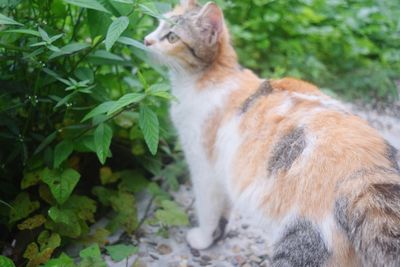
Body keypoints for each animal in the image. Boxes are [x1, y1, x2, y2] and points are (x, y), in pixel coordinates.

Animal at [144, 1, 400, 266]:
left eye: (171, 37)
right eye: (158, 25)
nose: (146, 40)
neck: (212, 78)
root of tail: (367, 173)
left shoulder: (205, 169)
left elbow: (208, 210)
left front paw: (203, 239)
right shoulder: (225, 171)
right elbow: (224, 210)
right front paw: (218, 236)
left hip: (301, 243)